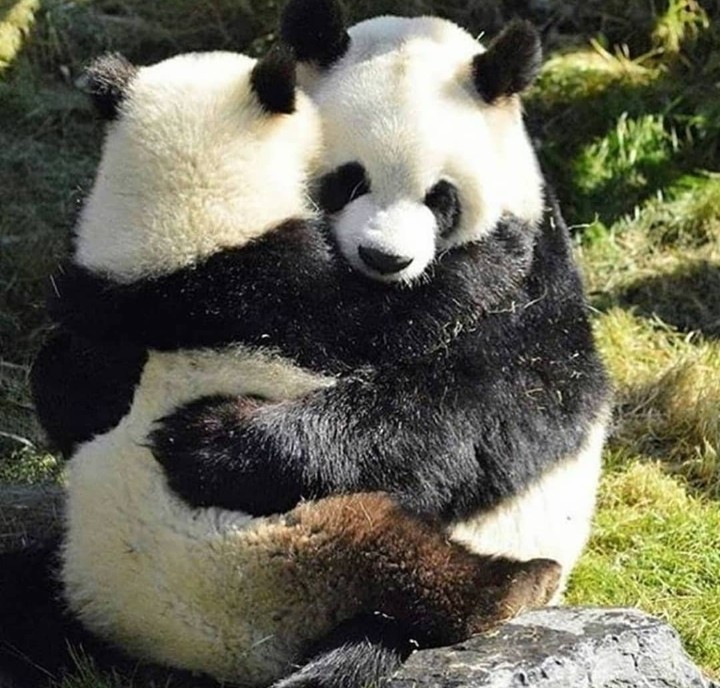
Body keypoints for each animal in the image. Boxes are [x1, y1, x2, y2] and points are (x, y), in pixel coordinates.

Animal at [3, 48, 562, 688]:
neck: (187, 241)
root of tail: (198, 652)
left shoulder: (118, 291)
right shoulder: (286, 293)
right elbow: (395, 315)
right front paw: (499, 252)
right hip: (292, 536)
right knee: (404, 561)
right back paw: (519, 581)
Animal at [142, 4, 612, 683]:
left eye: (441, 197)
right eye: (348, 179)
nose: (384, 258)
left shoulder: (534, 278)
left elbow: (491, 405)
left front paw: (213, 442)